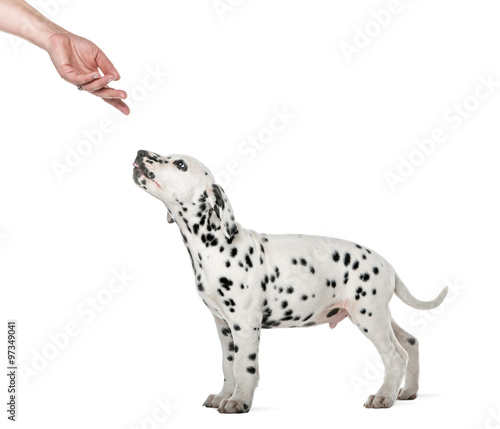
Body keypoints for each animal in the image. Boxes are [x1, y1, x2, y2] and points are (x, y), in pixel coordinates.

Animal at [133, 150, 450, 412]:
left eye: (180, 164)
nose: (140, 152)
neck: (214, 245)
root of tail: (388, 266)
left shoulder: (245, 324)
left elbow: (244, 366)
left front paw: (239, 401)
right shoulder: (223, 325)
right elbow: (228, 364)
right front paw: (224, 395)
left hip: (369, 317)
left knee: (395, 356)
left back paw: (384, 397)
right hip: (379, 315)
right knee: (410, 342)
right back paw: (406, 391)